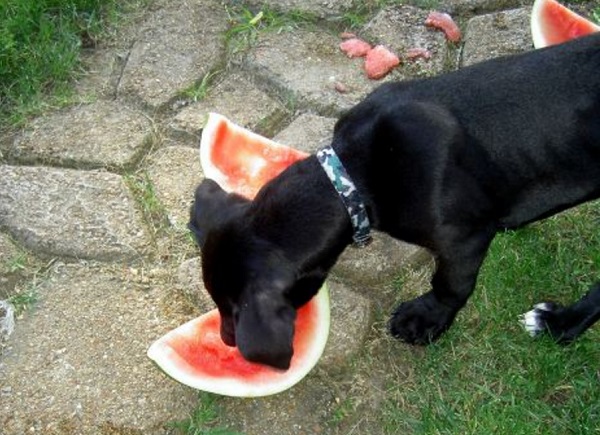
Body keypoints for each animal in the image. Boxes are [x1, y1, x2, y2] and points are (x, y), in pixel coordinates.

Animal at [189, 32, 600, 370]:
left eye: (232, 310)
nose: (226, 341)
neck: (351, 175)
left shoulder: (464, 239)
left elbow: (450, 285)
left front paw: (426, 318)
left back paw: (558, 322)